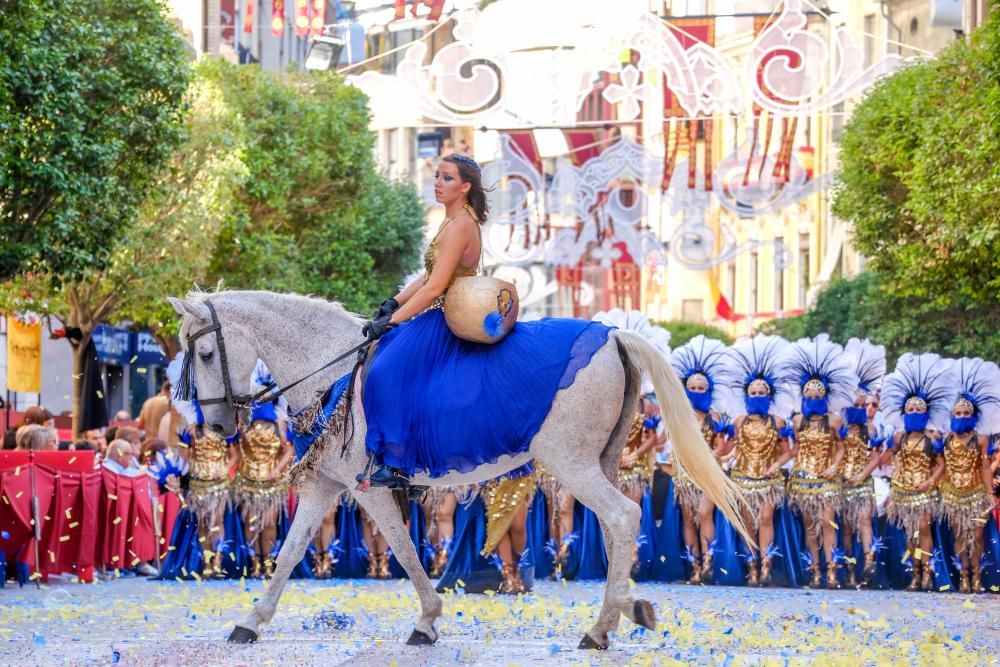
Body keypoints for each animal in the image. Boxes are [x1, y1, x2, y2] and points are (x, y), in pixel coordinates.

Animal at [170, 290, 752, 648]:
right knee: (617, 530)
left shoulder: (367, 487)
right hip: (599, 463)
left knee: (625, 517)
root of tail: (610, 335)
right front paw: (250, 622)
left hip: (572, 465)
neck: (332, 367)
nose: (218, 424)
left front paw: (428, 621)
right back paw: (625, 610)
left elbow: (404, 549)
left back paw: (599, 628)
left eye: (204, 353)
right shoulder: (322, 485)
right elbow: (289, 553)